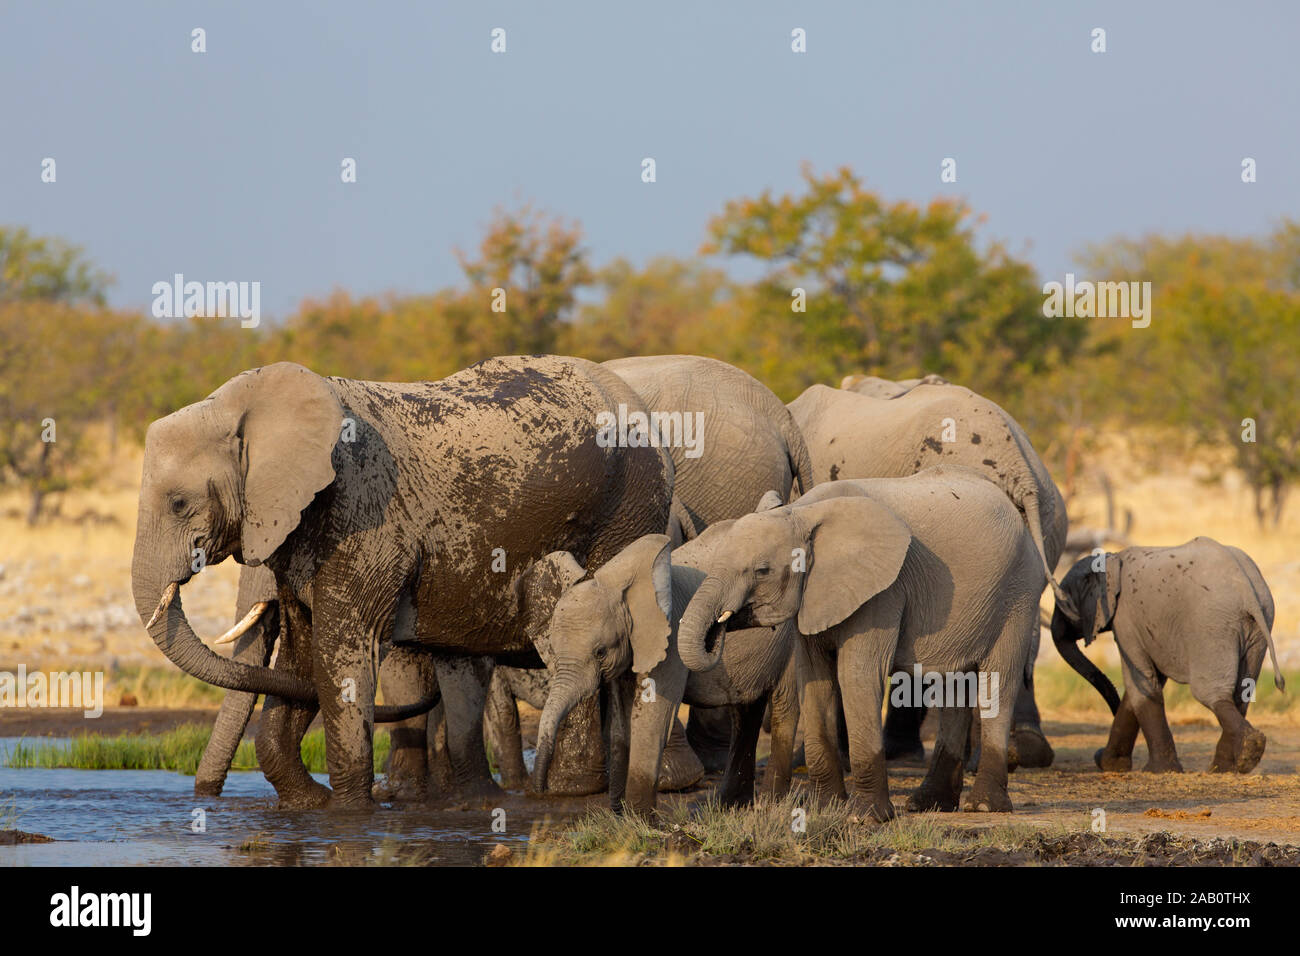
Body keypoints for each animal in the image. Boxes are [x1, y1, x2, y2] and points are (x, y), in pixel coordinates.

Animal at [132, 357, 675, 808]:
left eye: (178, 503)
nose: (206, 797)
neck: (244, 403)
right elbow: (301, 656)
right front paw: (308, 806)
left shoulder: (365, 514)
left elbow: (338, 652)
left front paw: (350, 813)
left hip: (629, 507)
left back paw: (570, 792)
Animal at [532, 520, 799, 815]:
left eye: (600, 652)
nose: (542, 790)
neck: (618, 582)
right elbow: (622, 722)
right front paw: (619, 817)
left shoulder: (669, 642)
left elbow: (651, 718)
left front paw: (638, 821)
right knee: (746, 712)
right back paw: (731, 807)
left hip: (793, 636)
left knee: (784, 707)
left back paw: (774, 806)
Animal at [676, 466, 1043, 819]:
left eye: (762, 570)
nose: (718, 629)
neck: (802, 513)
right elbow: (814, 679)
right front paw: (827, 809)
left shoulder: (883, 591)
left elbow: (857, 675)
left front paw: (864, 818)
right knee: (953, 685)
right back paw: (929, 804)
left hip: (1018, 593)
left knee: (998, 681)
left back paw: (984, 806)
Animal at [1052, 538, 1285, 774]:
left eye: (1065, 603)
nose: (1097, 754)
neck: (1110, 560)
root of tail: (1247, 591)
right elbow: (1146, 682)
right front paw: (1110, 764)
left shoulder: (1125, 621)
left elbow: (1141, 684)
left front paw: (1155, 770)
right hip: (1257, 627)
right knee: (1241, 693)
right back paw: (1226, 767)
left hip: (1211, 625)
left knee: (1210, 693)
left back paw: (1243, 753)